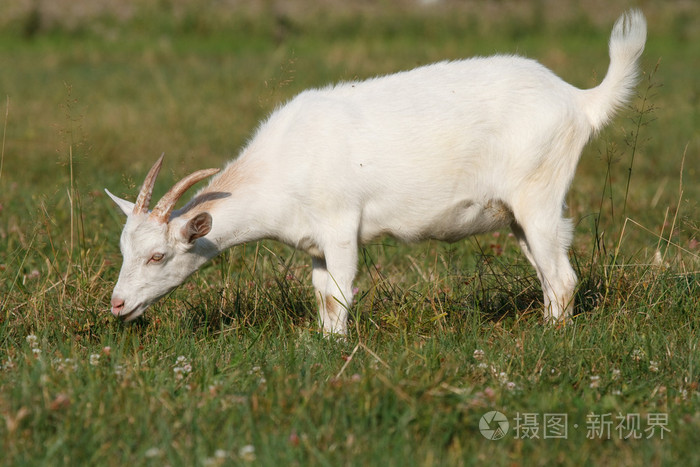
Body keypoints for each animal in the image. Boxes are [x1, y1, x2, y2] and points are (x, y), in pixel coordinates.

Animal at [106, 10, 648, 332]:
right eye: (124, 249)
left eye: (157, 255)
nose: (116, 305)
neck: (281, 166)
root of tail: (580, 101)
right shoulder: (314, 245)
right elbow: (323, 298)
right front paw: (322, 345)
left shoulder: (341, 226)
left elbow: (341, 295)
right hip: (516, 215)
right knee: (549, 274)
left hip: (539, 195)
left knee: (564, 278)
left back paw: (551, 340)